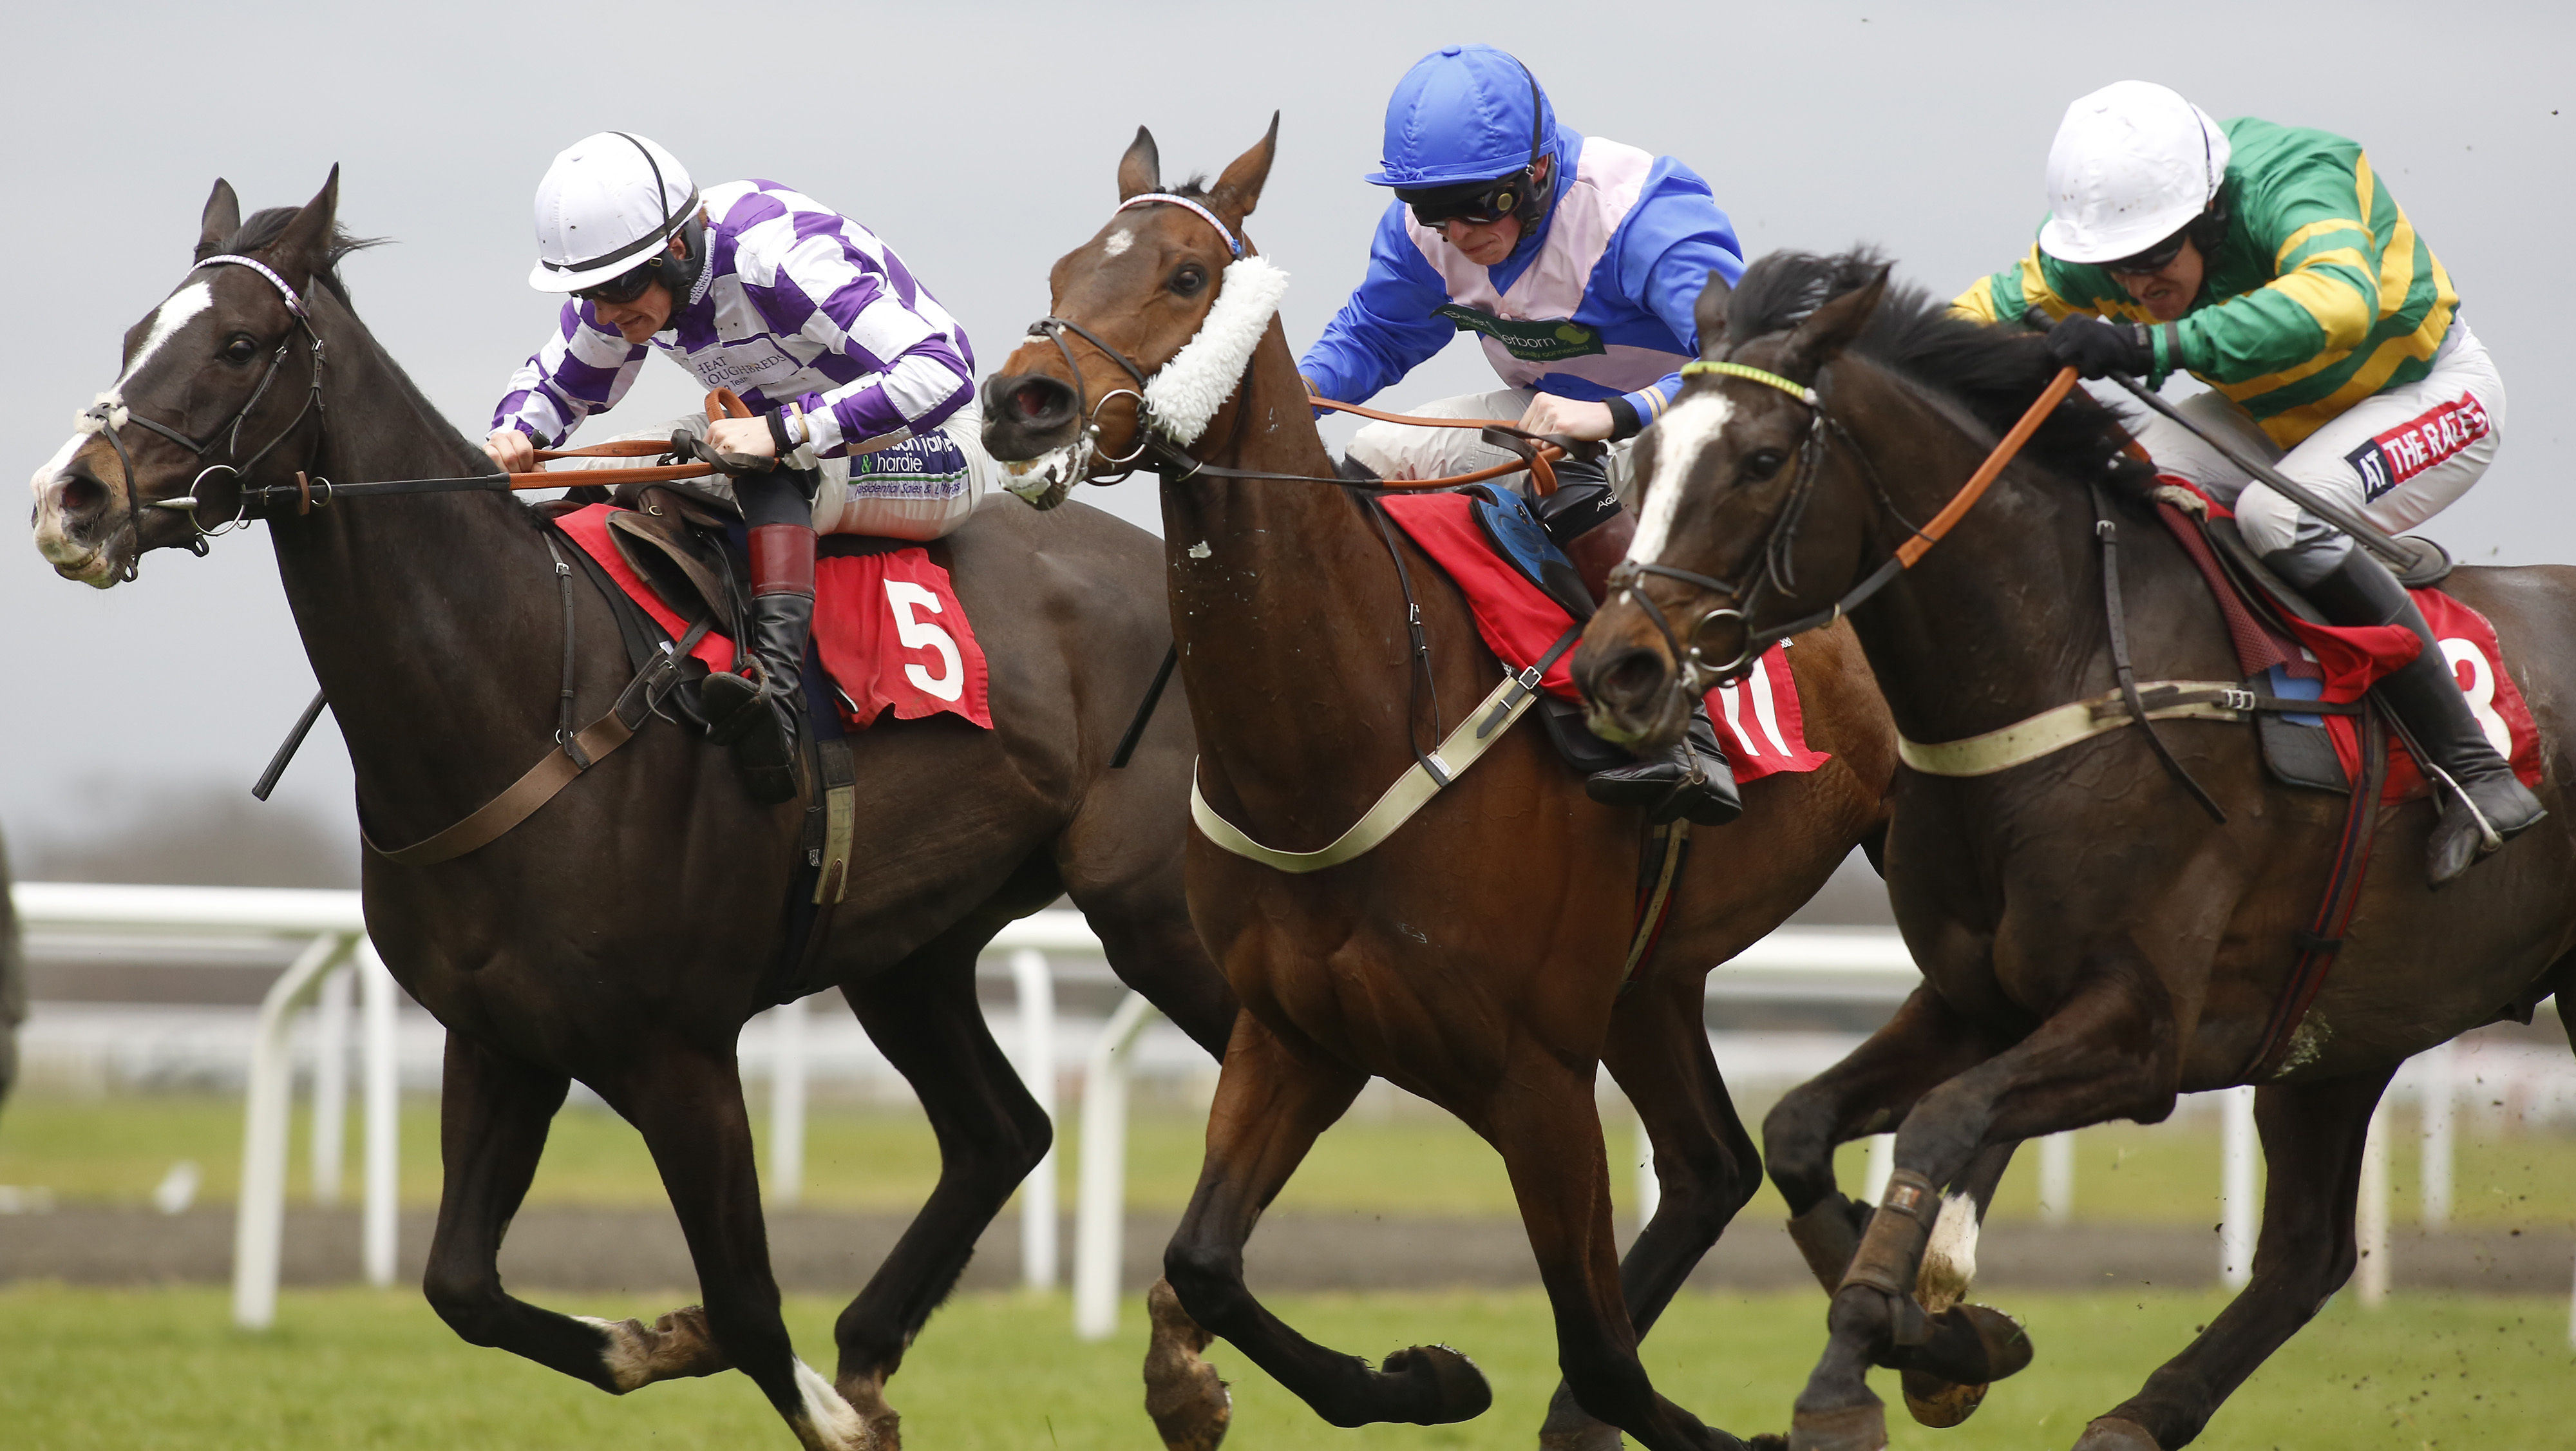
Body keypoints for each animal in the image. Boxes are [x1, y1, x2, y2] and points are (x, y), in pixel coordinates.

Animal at [29, 170, 1238, 1451]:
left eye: (239, 344)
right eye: (134, 336)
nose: (70, 495)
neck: (519, 694)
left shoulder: (680, 1052)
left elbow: (749, 1302)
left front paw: (814, 1404)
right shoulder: (499, 1036)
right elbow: (461, 1284)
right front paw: (670, 1342)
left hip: (1161, 917)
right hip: (909, 947)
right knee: (1003, 1129)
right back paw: (884, 1344)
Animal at [978, 121, 1897, 1451]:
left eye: (1186, 277)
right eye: (1061, 267)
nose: (1021, 401)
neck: (1343, 734)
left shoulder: (1535, 1071)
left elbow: (1601, 1347)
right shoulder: (1297, 1033)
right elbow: (1205, 1258)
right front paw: (1417, 1379)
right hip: (1648, 972)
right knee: (1711, 1163)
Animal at [1574, 248, 2576, 1451]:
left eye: (1763, 460)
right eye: (1642, 458)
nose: (1617, 668)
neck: (2068, 670)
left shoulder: (2143, 1031)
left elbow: (1943, 1124)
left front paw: (1865, 1360)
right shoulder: (1978, 998)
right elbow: (1799, 1128)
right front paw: (1938, 1333)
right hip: (2347, 1025)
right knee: (2306, 1252)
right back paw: (2136, 1417)